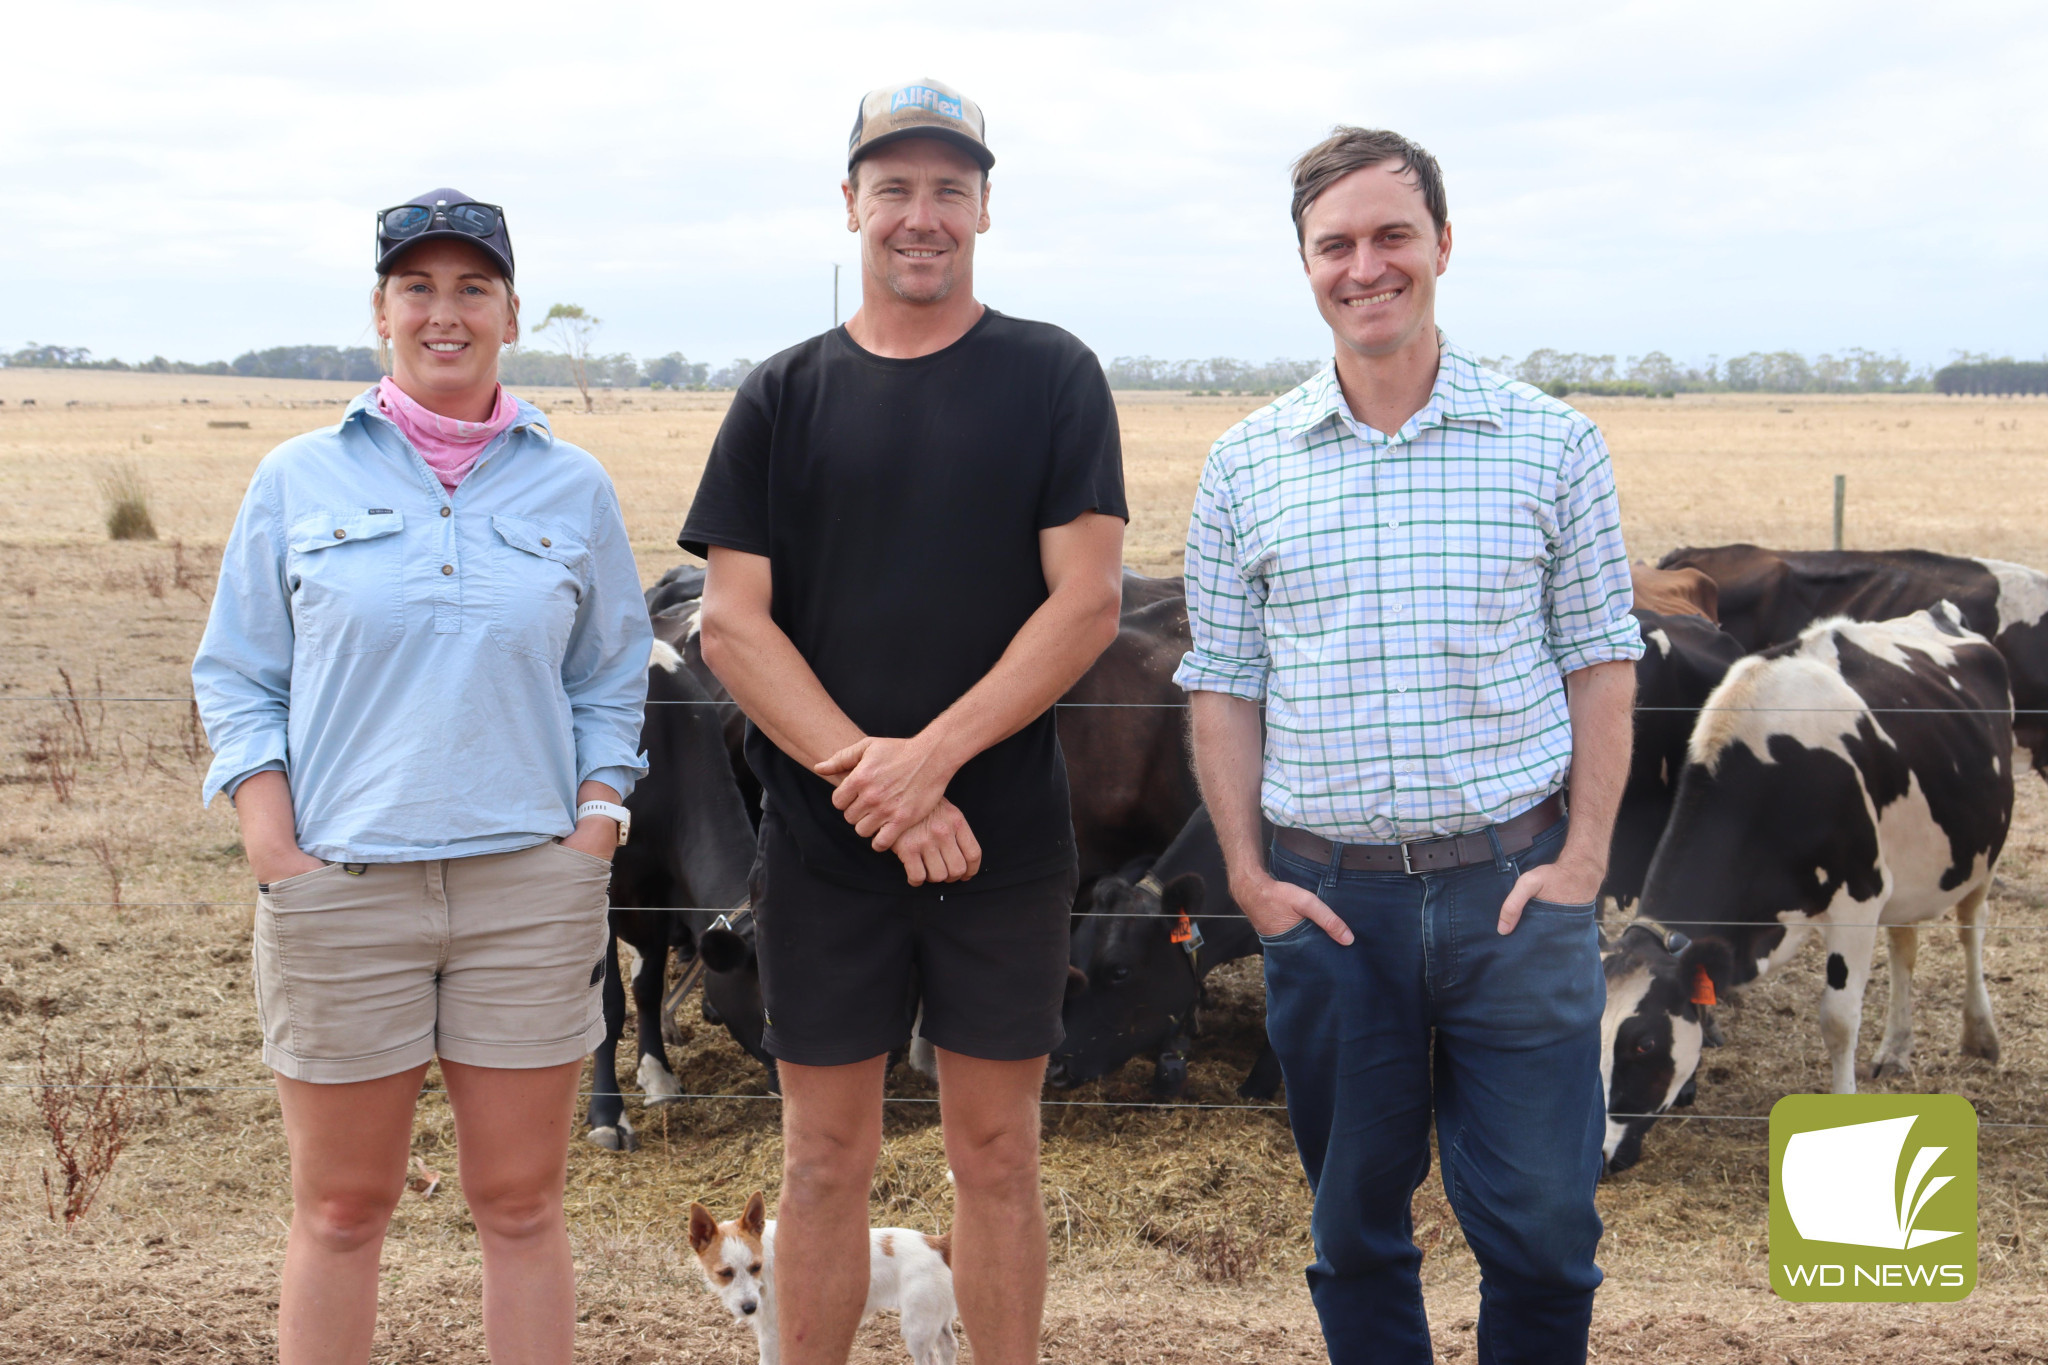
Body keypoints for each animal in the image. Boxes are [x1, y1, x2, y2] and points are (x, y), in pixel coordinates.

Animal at [679, 1186, 950, 1358]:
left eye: (755, 1267)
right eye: (725, 1273)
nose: (749, 1308)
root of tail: (934, 1242)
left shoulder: (772, 1334)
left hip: (917, 1330)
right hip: (935, 1322)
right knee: (949, 1347)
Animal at [1613, 605, 2015, 1162]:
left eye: (1644, 1043)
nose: (1601, 1156)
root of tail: (1937, 613)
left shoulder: (1859, 895)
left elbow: (1838, 1020)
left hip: (1980, 851)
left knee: (1971, 927)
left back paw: (1981, 1034)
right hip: (1907, 870)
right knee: (1905, 946)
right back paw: (1895, 1048)